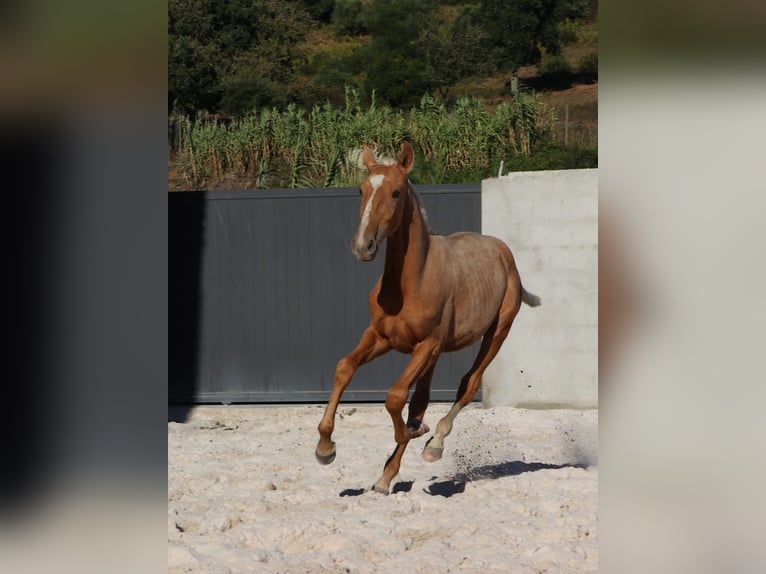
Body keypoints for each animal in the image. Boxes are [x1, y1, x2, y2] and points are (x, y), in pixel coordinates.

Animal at [314, 143, 540, 496]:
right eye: (361, 190)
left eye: (395, 192)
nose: (362, 246)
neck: (412, 281)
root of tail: (504, 252)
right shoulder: (380, 337)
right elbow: (345, 368)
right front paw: (325, 449)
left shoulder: (425, 345)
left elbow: (395, 397)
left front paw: (416, 433)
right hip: (436, 353)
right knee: (420, 399)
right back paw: (386, 476)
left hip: (495, 334)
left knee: (467, 384)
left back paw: (434, 444)